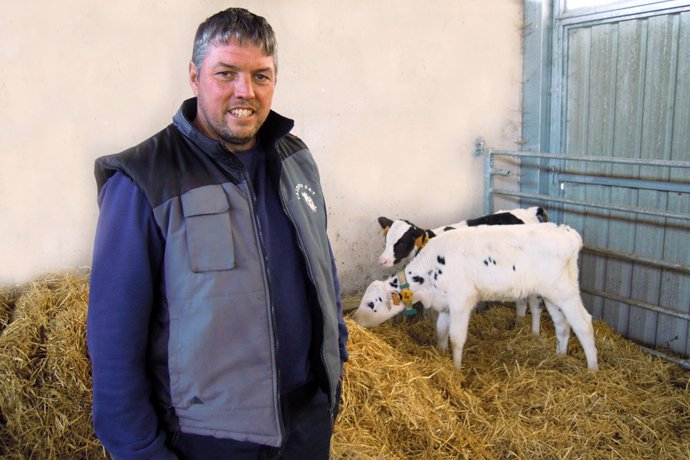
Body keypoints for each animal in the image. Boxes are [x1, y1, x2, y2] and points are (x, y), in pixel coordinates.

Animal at [352, 223, 592, 370]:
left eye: (371, 304)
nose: (355, 320)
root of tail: (570, 233)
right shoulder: (445, 304)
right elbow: (440, 331)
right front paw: (441, 354)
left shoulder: (461, 301)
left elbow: (457, 338)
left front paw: (456, 368)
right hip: (552, 295)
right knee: (563, 325)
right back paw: (559, 357)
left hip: (566, 291)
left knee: (583, 323)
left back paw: (592, 369)